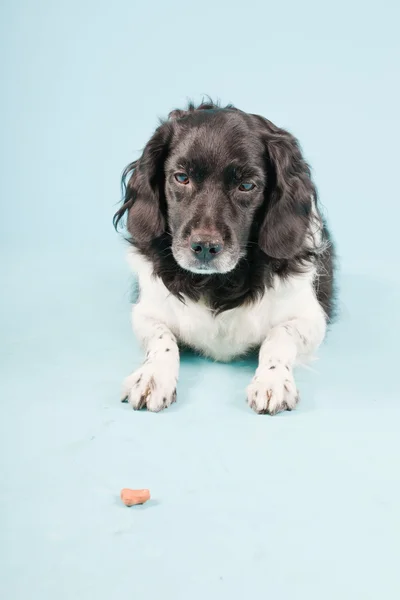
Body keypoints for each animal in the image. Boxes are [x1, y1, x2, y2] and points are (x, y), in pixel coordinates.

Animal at [113, 102, 334, 412]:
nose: (205, 247)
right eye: (181, 177)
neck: (216, 283)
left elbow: (279, 336)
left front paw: (272, 380)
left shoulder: (310, 317)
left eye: (247, 186)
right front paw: (152, 376)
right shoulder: (146, 312)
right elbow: (162, 339)